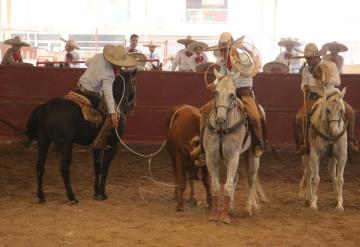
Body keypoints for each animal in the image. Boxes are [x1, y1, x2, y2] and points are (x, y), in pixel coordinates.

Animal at [26, 69, 136, 203]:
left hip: (43, 141)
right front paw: (103, 193)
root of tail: (45, 107)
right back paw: (72, 197)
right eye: (135, 83)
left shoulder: (96, 146)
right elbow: (105, 169)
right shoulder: (113, 146)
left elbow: (97, 168)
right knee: (64, 168)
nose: (132, 105)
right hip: (66, 144)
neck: (116, 103)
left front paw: (96, 192)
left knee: (39, 166)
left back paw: (41, 196)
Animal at [202, 70, 268, 224]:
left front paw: (225, 217)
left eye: (232, 95)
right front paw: (215, 215)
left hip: (252, 156)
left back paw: (247, 209)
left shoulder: (233, 158)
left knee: (251, 178)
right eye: (215, 92)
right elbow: (217, 187)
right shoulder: (211, 158)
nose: (220, 119)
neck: (222, 129)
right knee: (236, 178)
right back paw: (231, 206)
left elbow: (227, 186)